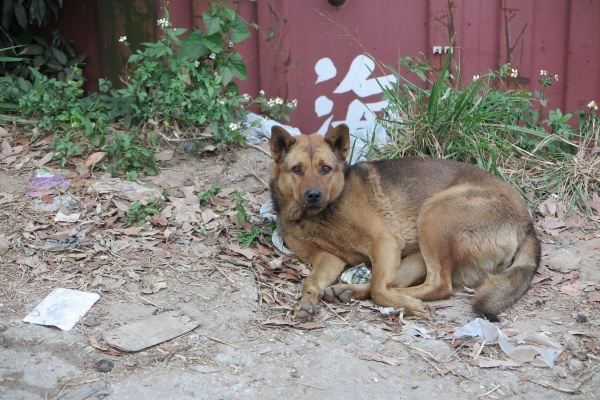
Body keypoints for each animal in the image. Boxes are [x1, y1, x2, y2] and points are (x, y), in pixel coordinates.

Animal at [270, 124, 540, 322]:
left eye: (325, 169)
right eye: (297, 169)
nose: (314, 195)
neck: (318, 216)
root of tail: (527, 222)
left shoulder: (385, 243)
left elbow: (380, 289)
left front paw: (408, 305)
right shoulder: (328, 258)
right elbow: (311, 281)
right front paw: (307, 302)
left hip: (433, 216)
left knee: (436, 285)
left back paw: (403, 301)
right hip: (419, 251)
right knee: (398, 282)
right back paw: (349, 291)